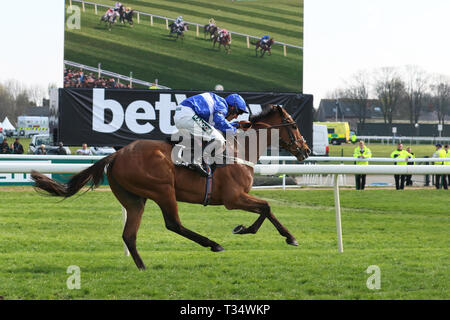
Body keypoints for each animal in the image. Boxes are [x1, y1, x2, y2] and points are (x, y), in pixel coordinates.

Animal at [29, 105, 310, 270]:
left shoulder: (240, 197)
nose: (306, 150)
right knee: (173, 224)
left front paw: (287, 236)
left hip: (134, 199)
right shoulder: (233, 198)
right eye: (294, 125)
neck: (239, 149)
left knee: (129, 235)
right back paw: (213, 244)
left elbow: (267, 209)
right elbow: (266, 207)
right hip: (163, 189)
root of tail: (117, 155)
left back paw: (142, 267)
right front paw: (246, 229)